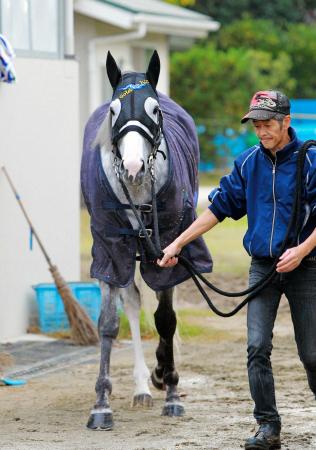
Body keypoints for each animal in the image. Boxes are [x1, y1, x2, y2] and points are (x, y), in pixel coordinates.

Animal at [81, 51, 212, 430]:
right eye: (113, 110)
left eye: (154, 110)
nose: (134, 165)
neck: (138, 192)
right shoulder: (111, 250)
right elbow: (109, 324)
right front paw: (101, 405)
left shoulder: (168, 247)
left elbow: (166, 320)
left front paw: (172, 391)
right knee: (133, 302)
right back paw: (141, 386)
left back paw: (159, 376)